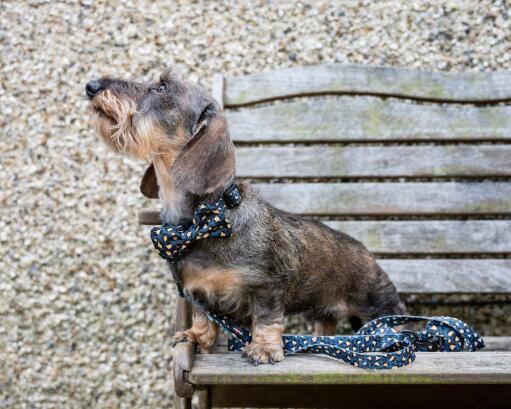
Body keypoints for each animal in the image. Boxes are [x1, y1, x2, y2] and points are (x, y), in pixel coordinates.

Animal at [87, 68, 408, 364]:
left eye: (162, 87)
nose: (91, 85)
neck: (202, 223)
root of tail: (367, 253)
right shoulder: (197, 291)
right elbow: (203, 317)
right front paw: (198, 337)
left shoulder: (266, 285)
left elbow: (265, 318)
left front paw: (263, 348)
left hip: (379, 307)